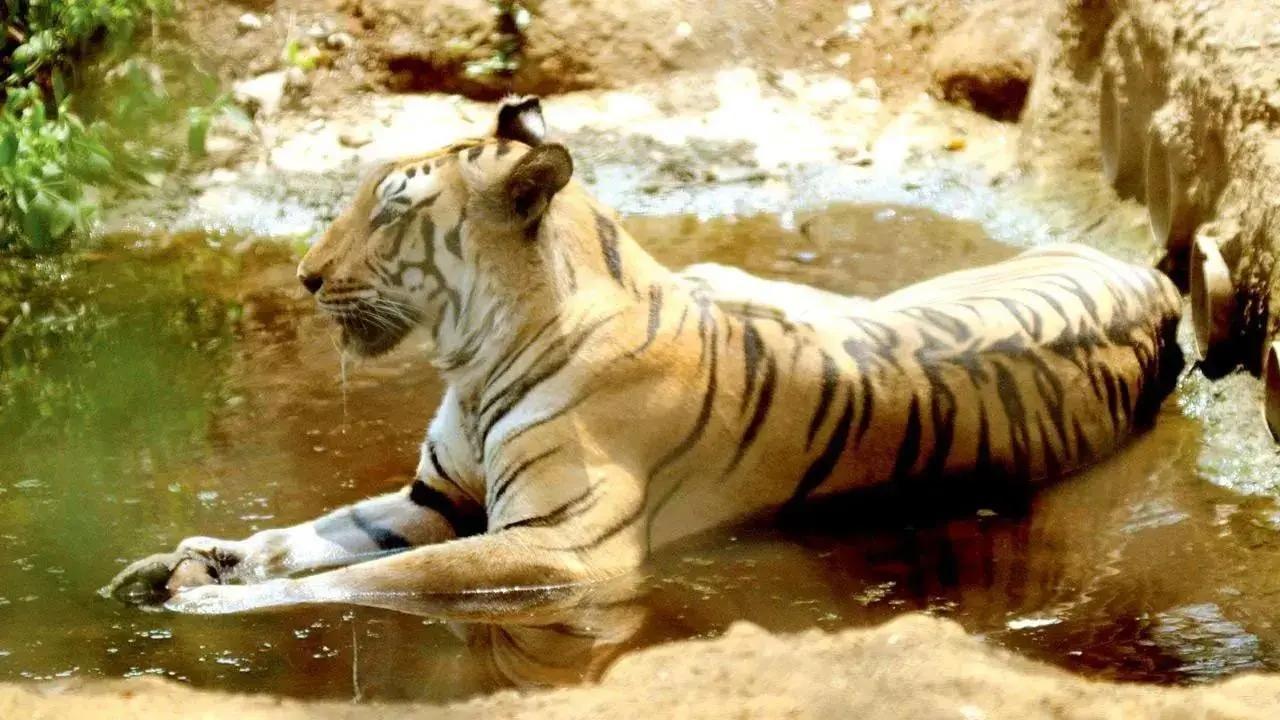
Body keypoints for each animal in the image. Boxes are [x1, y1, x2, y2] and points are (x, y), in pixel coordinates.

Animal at [105, 97, 1184, 615]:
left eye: (394, 208)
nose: (305, 276)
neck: (475, 358)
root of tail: (1143, 270)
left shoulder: (561, 542)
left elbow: (374, 579)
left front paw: (228, 598)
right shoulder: (432, 496)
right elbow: (314, 532)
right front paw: (193, 558)